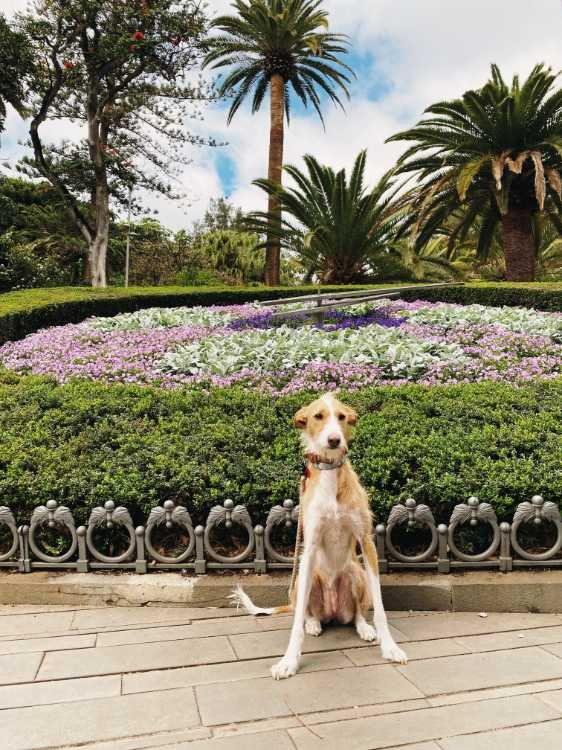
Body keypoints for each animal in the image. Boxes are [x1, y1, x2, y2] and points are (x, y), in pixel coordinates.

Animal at [230, 394, 404, 680]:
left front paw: (390, 647)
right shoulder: (308, 546)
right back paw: (313, 624)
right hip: (304, 576)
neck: (331, 474)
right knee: (306, 612)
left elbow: (379, 608)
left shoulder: (366, 541)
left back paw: (363, 627)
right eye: (318, 416)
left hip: (356, 574)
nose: (334, 440)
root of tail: (332, 613)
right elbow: (296, 620)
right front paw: (289, 661)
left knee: (357, 613)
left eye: (342, 417)